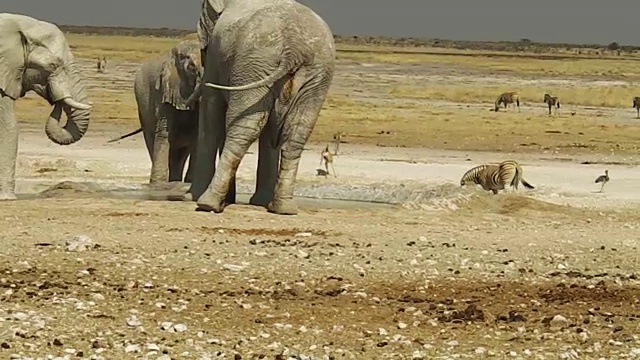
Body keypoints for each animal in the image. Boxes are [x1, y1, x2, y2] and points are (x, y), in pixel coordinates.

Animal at [107, 39, 202, 184]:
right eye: (192, 69)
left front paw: (189, 183)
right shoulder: (164, 91)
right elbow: (163, 134)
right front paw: (157, 184)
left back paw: (175, 181)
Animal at [184, 0, 336, 215]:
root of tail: (294, 49)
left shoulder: (215, 56)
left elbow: (211, 111)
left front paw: (190, 197)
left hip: (255, 64)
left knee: (243, 128)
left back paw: (207, 203)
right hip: (314, 74)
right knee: (296, 133)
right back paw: (283, 208)